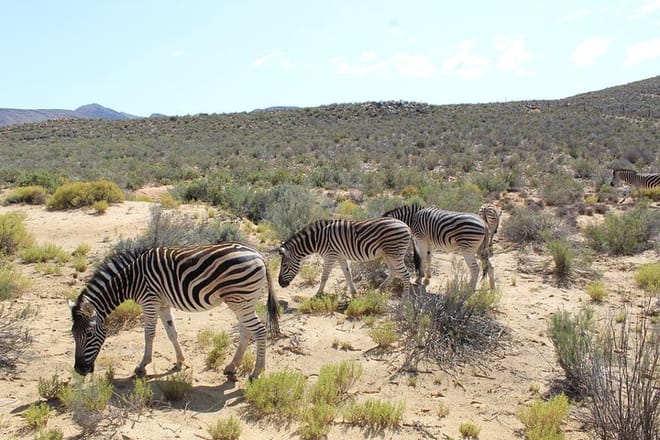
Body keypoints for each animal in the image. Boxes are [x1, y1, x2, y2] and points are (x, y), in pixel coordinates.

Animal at [69, 242, 279, 381]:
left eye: (89, 334)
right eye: (73, 334)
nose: (79, 370)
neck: (131, 279)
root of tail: (259, 255)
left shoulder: (150, 301)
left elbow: (149, 334)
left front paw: (142, 366)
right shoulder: (162, 305)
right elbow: (171, 333)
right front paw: (180, 362)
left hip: (241, 300)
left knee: (259, 331)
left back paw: (256, 372)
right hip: (244, 302)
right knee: (246, 332)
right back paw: (231, 367)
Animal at [278, 218, 414, 297]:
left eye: (284, 266)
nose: (280, 284)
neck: (318, 240)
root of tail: (406, 225)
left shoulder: (330, 256)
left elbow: (324, 277)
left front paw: (318, 294)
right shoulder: (340, 257)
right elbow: (348, 275)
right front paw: (354, 293)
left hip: (395, 253)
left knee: (405, 275)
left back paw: (404, 301)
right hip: (388, 254)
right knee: (393, 271)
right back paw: (379, 289)